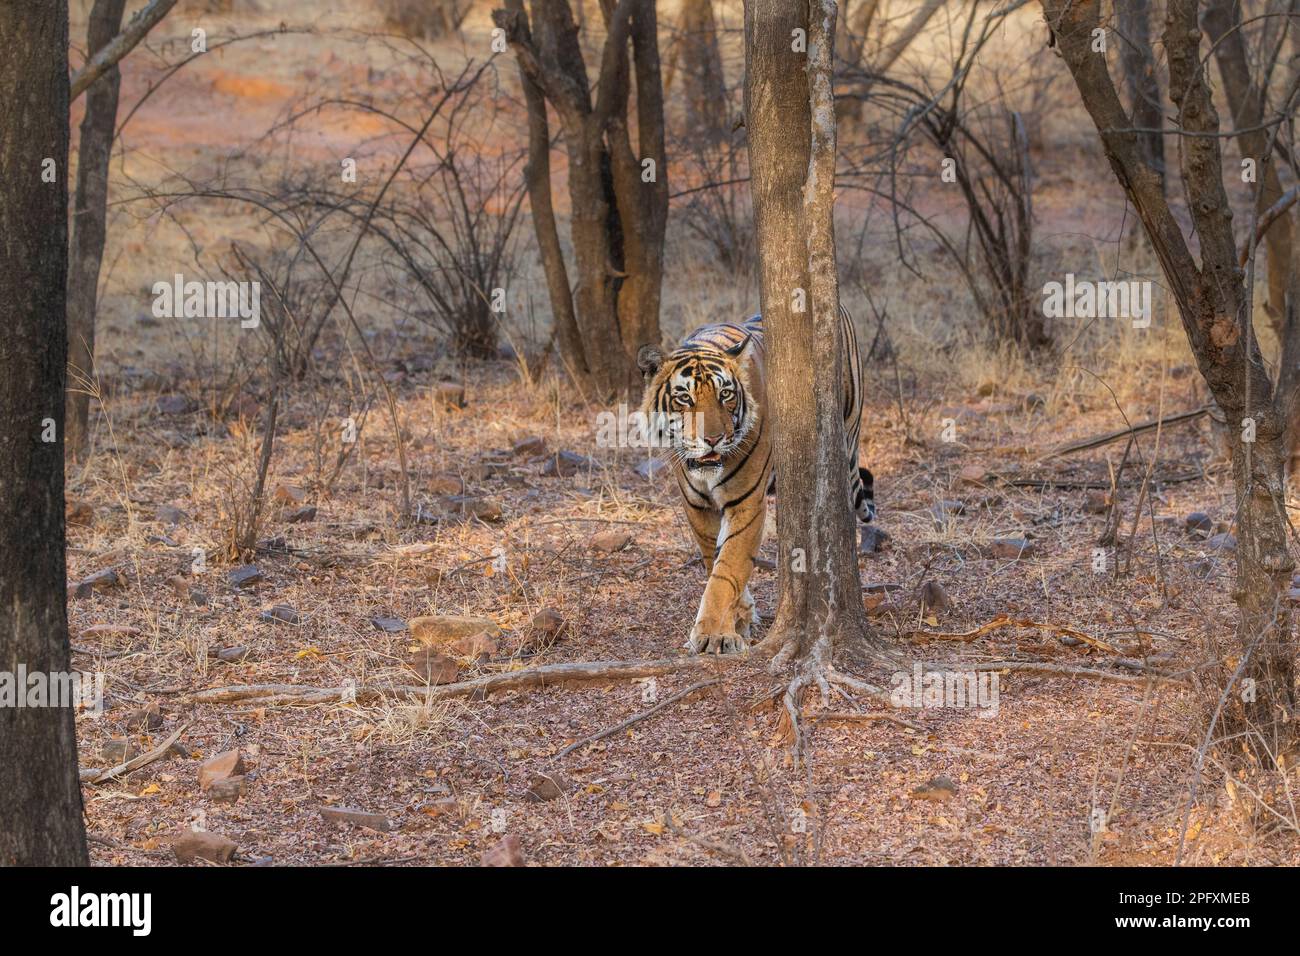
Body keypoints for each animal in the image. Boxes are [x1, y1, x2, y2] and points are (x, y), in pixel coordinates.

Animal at [637, 310, 873, 655]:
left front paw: (714, 634)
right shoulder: (697, 506)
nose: (713, 439)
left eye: (725, 395)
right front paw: (737, 620)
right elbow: (715, 563)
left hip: (847, 429)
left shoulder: (746, 503)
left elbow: (727, 571)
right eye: (684, 398)